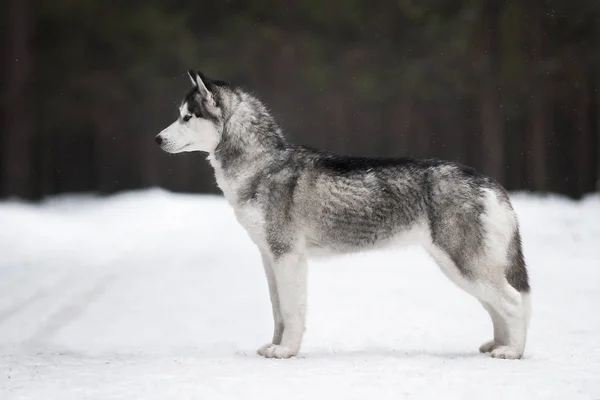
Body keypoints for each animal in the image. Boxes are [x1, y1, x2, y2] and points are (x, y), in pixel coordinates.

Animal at [155, 70, 528, 360]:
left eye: (187, 117)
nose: (157, 139)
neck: (262, 165)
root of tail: (489, 181)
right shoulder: (269, 257)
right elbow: (277, 311)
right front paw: (274, 346)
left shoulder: (287, 255)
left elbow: (291, 310)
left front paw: (286, 351)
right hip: (459, 266)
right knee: (497, 305)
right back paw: (498, 344)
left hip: (463, 263)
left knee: (514, 302)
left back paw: (513, 351)